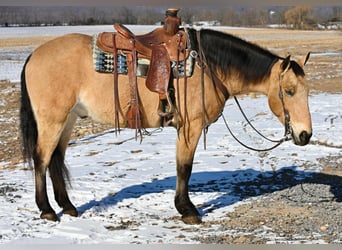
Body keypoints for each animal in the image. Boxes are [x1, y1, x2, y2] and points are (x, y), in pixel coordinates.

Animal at [20, 25, 312, 225]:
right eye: (288, 91)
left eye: (306, 90)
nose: (305, 135)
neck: (209, 66)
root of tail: (34, 55)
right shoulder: (190, 127)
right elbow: (184, 167)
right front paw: (187, 210)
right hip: (52, 119)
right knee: (42, 158)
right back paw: (47, 210)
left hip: (67, 119)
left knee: (56, 159)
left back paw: (68, 207)